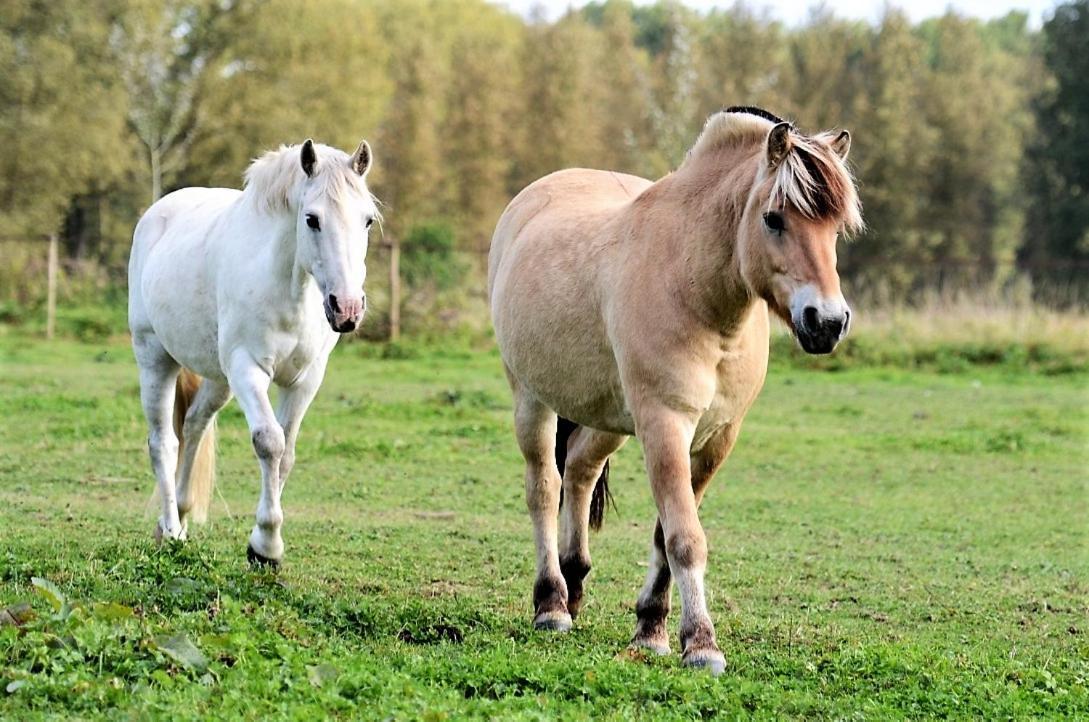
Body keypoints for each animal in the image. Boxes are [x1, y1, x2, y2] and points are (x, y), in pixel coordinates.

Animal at [129, 137, 378, 566]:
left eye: (367, 221)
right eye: (312, 219)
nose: (346, 308)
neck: (289, 290)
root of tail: (158, 213)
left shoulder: (304, 380)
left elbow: (287, 455)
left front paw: (264, 543)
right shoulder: (248, 369)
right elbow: (269, 442)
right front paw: (266, 546)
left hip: (219, 379)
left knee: (194, 424)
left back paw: (179, 516)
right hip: (155, 359)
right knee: (164, 443)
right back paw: (172, 529)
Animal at [492, 108, 858, 679]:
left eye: (836, 228)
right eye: (774, 219)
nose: (827, 322)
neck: (695, 290)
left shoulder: (716, 438)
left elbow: (666, 535)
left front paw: (651, 630)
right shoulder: (666, 424)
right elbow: (685, 537)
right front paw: (701, 644)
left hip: (608, 418)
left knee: (579, 471)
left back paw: (574, 584)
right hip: (532, 398)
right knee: (544, 487)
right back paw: (551, 604)